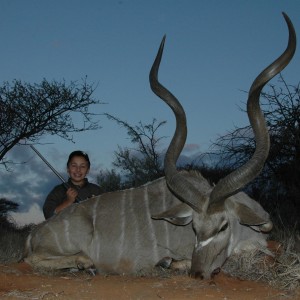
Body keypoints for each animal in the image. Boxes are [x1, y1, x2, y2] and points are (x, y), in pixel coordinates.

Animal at [24, 12, 296, 280]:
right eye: (194, 228)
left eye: (223, 226)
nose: (198, 273)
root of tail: (34, 234)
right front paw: (170, 262)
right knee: (32, 259)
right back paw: (86, 264)